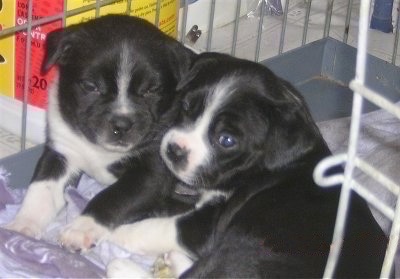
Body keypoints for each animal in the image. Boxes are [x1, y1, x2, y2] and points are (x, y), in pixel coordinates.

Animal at [4, 15, 195, 247]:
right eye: (90, 86)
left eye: (152, 90)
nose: (121, 124)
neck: (99, 149)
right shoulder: (62, 153)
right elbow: (41, 189)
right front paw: (22, 225)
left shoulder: (151, 174)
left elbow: (111, 198)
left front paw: (80, 228)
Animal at [105, 53, 388, 279]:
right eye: (186, 107)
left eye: (226, 140)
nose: (174, 150)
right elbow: (166, 203)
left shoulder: (205, 227)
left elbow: (157, 227)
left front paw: (115, 232)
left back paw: (124, 267)